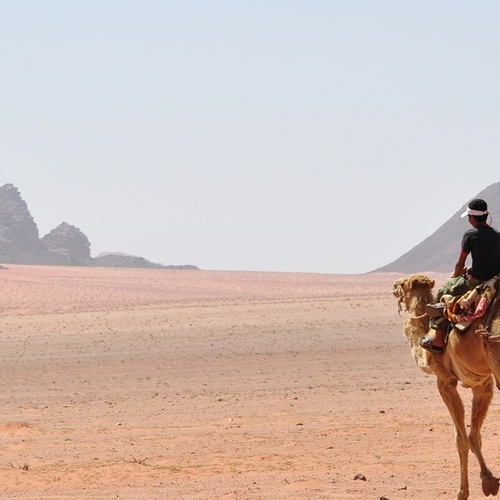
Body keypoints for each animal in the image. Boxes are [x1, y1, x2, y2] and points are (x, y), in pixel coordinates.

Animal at [392, 274, 500, 500]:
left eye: (402, 284)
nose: (393, 287)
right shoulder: (482, 383)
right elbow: (474, 436)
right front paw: (488, 480)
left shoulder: (445, 381)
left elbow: (461, 439)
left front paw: (462, 492)